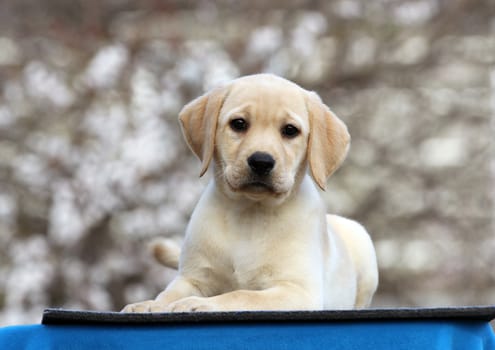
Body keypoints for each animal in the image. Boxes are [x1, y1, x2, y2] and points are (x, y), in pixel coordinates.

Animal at [122, 73, 378, 312]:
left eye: (290, 130)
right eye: (239, 124)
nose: (261, 161)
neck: (250, 213)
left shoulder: (297, 290)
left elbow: (240, 295)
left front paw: (199, 304)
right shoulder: (192, 278)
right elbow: (168, 294)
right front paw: (148, 305)